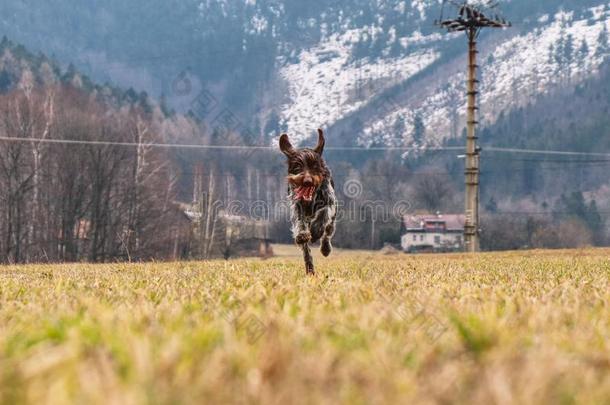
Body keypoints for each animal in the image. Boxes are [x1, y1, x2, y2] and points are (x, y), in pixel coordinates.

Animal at [278, 129, 334, 274]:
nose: (307, 181)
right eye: (297, 167)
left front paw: (316, 230)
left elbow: (324, 213)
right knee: (306, 251)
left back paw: (325, 248)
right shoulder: (297, 206)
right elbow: (300, 223)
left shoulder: (330, 202)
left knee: (328, 233)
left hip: (331, 223)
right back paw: (310, 269)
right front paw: (303, 235)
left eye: (315, 166)